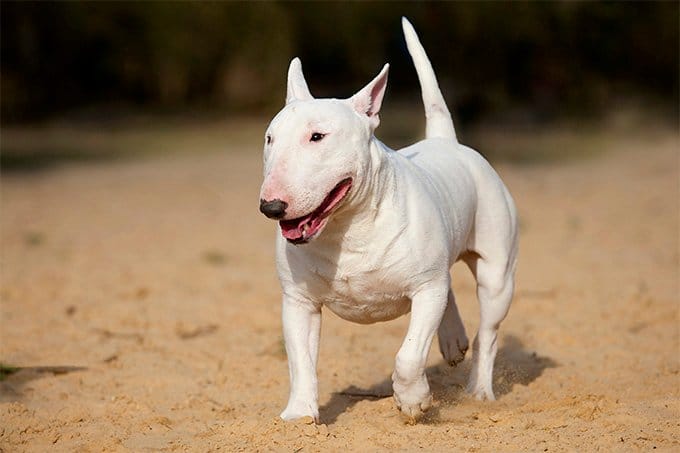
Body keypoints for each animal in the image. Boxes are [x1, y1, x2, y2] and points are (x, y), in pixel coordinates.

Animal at [258, 16, 516, 420]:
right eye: (270, 139)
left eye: (318, 136)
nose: (271, 206)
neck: (347, 229)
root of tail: (445, 141)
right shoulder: (299, 301)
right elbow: (300, 360)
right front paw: (299, 416)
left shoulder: (426, 287)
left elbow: (409, 355)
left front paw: (413, 400)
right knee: (450, 290)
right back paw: (453, 340)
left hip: (496, 274)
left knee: (487, 332)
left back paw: (479, 390)